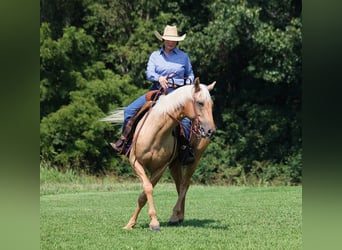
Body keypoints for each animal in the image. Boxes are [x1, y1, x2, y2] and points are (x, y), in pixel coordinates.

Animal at [123, 76, 216, 230]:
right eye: (200, 103)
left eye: (211, 104)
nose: (210, 131)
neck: (155, 131)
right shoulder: (135, 162)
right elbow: (146, 190)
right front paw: (131, 223)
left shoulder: (160, 168)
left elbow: (146, 191)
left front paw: (153, 222)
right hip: (175, 164)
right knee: (179, 185)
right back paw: (179, 216)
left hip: (195, 160)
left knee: (185, 184)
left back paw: (174, 216)